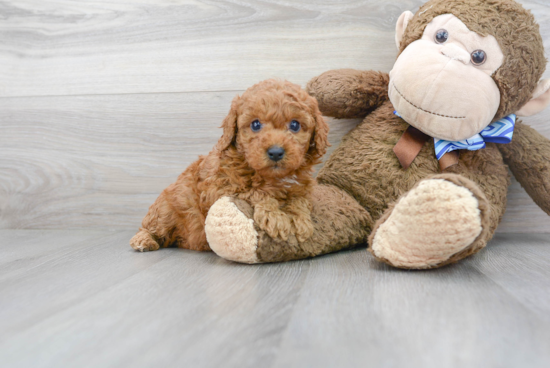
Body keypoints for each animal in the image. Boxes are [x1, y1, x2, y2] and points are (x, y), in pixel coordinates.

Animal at [132, 78, 330, 252]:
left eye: (295, 125)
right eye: (255, 124)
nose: (275, 152)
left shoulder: (301, 186)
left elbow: (299, 199)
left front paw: (300, 219)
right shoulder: (219, 189)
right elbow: (254, 192)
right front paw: (275, 217)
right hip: (164, 210)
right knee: (151, 227)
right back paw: (143, 240)